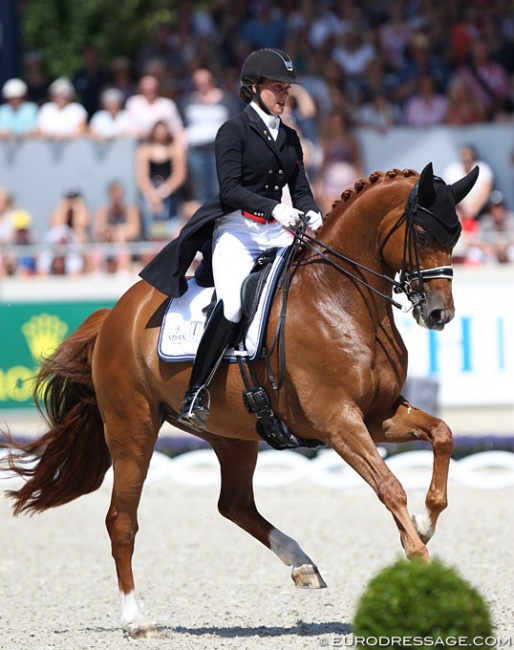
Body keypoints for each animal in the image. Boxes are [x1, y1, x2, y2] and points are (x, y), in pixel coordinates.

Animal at [4, 162, 476, 632]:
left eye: (455, 236)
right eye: (422, 235)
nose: (440, 314)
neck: (340, 297)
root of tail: (114, 316)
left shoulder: (378, 414)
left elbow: (442, 434)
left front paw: (424, 522)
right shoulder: (338, 420)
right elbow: (389, 486)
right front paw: (423, 566)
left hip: (233, 434)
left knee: (233, 503)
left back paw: (301, 564)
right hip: (132, 428)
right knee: (122, 520)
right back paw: (136, 619)